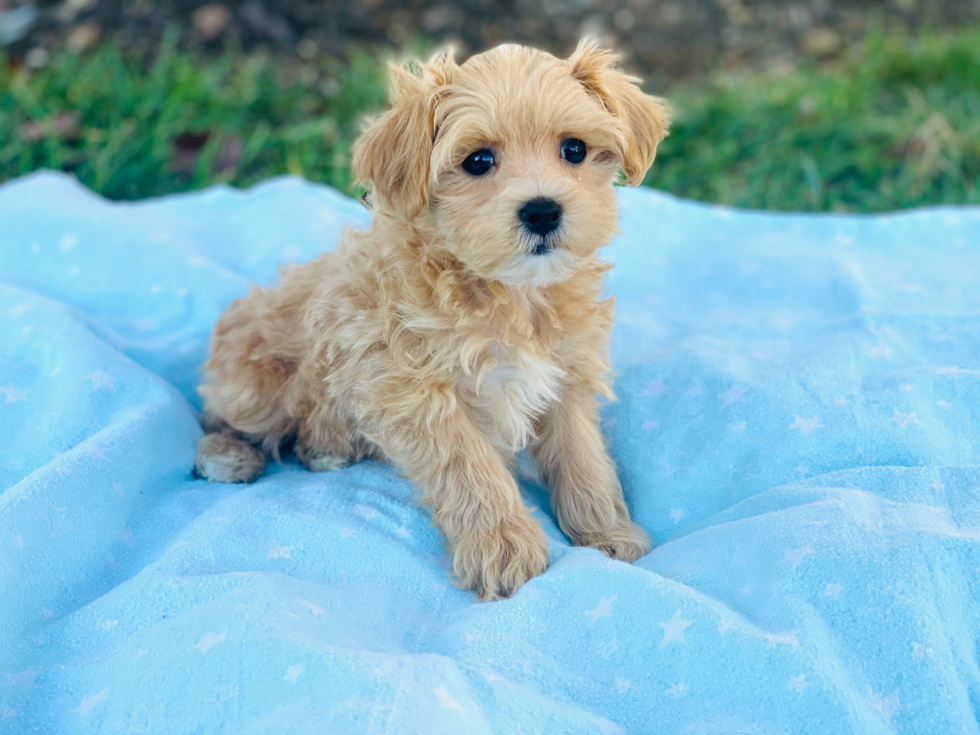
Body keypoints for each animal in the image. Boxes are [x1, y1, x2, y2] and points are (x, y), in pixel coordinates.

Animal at [199, 40, 672, 600]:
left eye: (574, 150)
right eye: (478, 161)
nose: (542, 211)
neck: (511, 295)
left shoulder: (566, 375)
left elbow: (584, 455)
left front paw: (605, 531)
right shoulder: (413, 390)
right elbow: (469, 468)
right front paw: (503, 544)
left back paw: (323, 449)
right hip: (257, 385)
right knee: (218, 418)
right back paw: (230, 455)